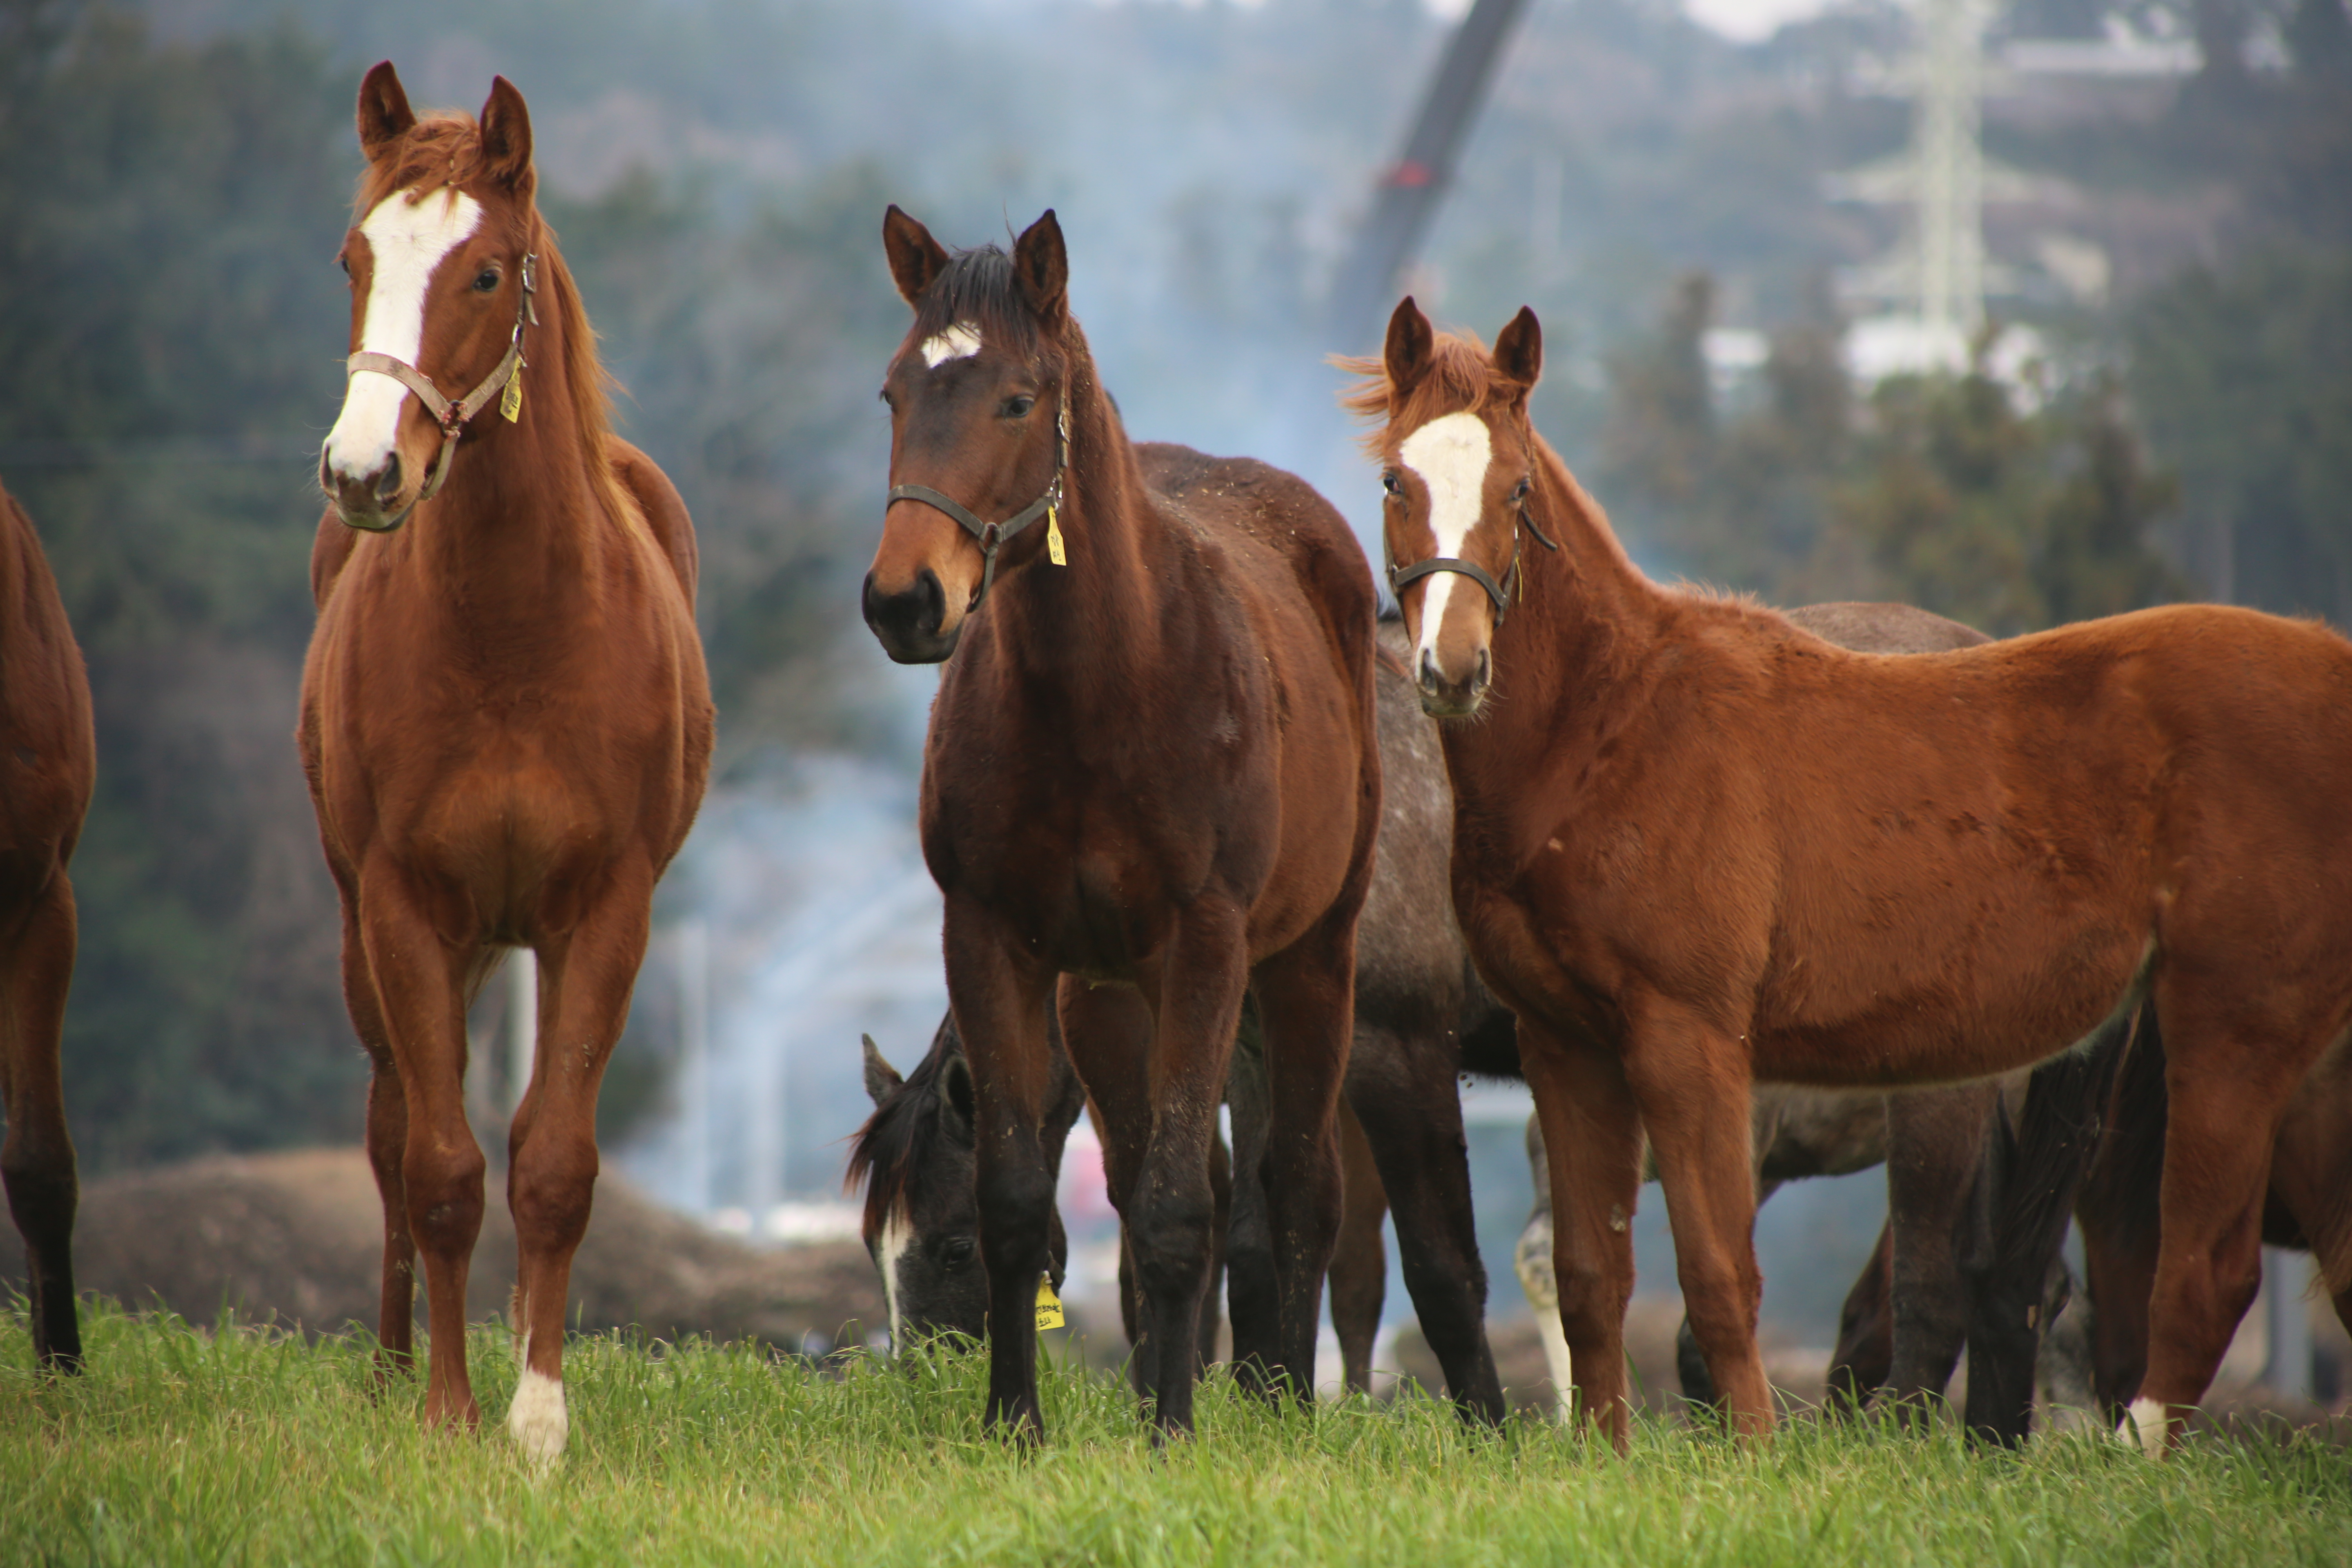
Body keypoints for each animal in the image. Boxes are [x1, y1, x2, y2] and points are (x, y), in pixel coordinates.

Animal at [298, 61, 710, 1457]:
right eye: (356, 257)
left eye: (486, 272)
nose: (365, 471)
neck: (518, 632)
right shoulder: (406, 906)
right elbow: (438, 1168)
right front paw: (444, 1411)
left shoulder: (607, 911)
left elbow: (553, 1162)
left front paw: (538, 1419)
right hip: (376, 934)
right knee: (387, 1126)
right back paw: (385, 1368)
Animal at [861, 212, 1373, 1448]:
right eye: (894, 392)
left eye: (1015, 398)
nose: (904, 601)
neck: (1102, 691)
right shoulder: (995, 939)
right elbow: (1027, 1197)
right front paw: (1016, 1422)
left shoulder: (1208, 946)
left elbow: (1184, 1206)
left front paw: (1176, 1433)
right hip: (1107, 999)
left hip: (1306, 960)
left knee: (1293, 1185)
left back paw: (1280, 1403)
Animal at [1354, 301, 2352, 1457]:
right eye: (1396, 480)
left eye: (1515, 489)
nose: (1452, 668)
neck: (1614, 729)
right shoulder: (1564, 1044)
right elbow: (1589, 1270)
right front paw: (1602, 1450)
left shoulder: (1690, 1040)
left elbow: (1717, 1274)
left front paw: (1746, 1456)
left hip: (2219, 1036)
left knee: (2187, 1276)